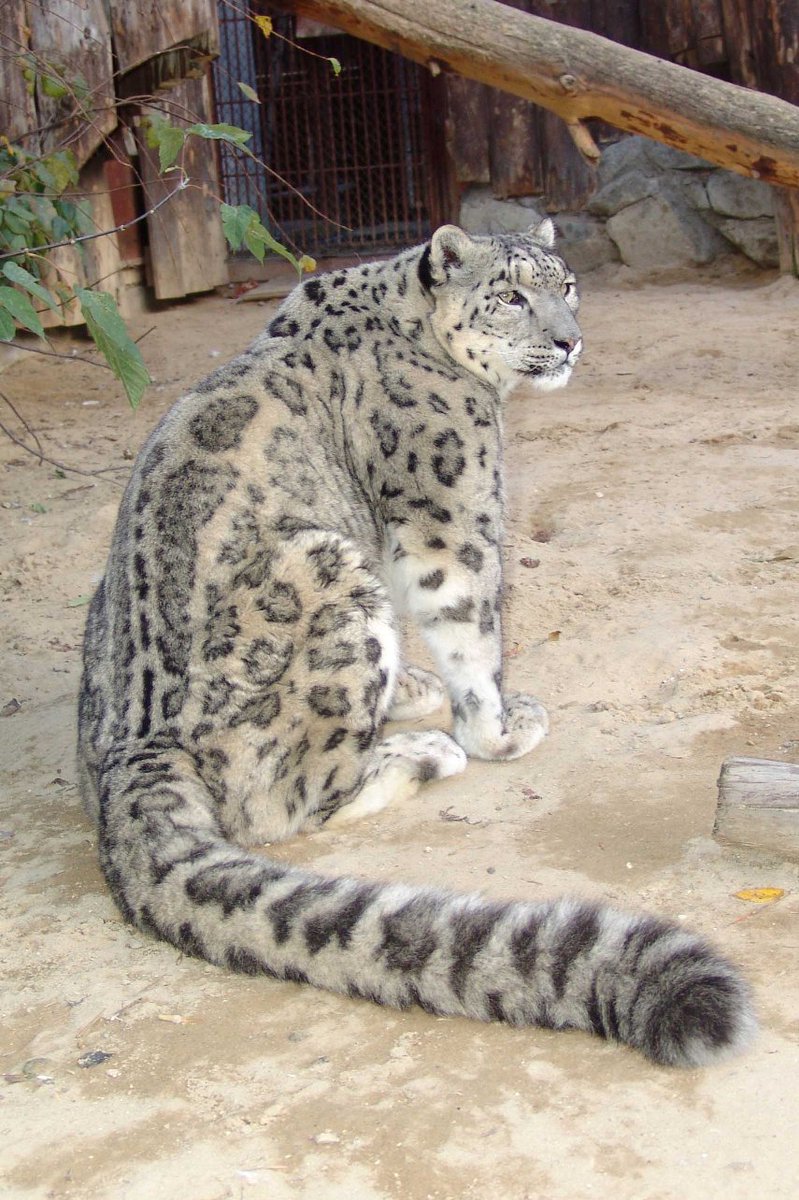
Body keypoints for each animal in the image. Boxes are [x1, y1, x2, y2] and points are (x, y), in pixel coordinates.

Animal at [77, 221, 754, 1065]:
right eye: (510, 295)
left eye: (566, 285)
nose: (568, 341)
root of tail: (129, 745)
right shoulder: (453, 513)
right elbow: (473, 628)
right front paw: (500, 728)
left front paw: (427, 691)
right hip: (334, 575)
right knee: (284, 802)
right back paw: (422, 754)